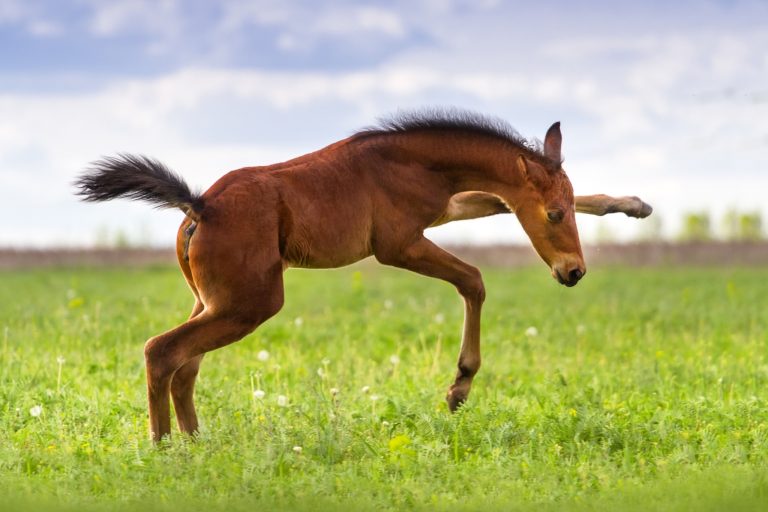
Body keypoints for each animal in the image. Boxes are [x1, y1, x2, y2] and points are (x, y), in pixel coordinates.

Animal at [75, 109, 651, 442]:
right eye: (553, 215)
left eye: (567, 209)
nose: (573, 272)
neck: (410, 159)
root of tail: (200, 205)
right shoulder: (396, 244)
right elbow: (473, 279)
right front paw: (459, 388)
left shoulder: (443, 210)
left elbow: (493, 204)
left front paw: (633, 204)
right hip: (249, 304)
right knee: (162, 351)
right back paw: (165, 448)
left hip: (214, 301)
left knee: (185, 365)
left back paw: (197, 443)